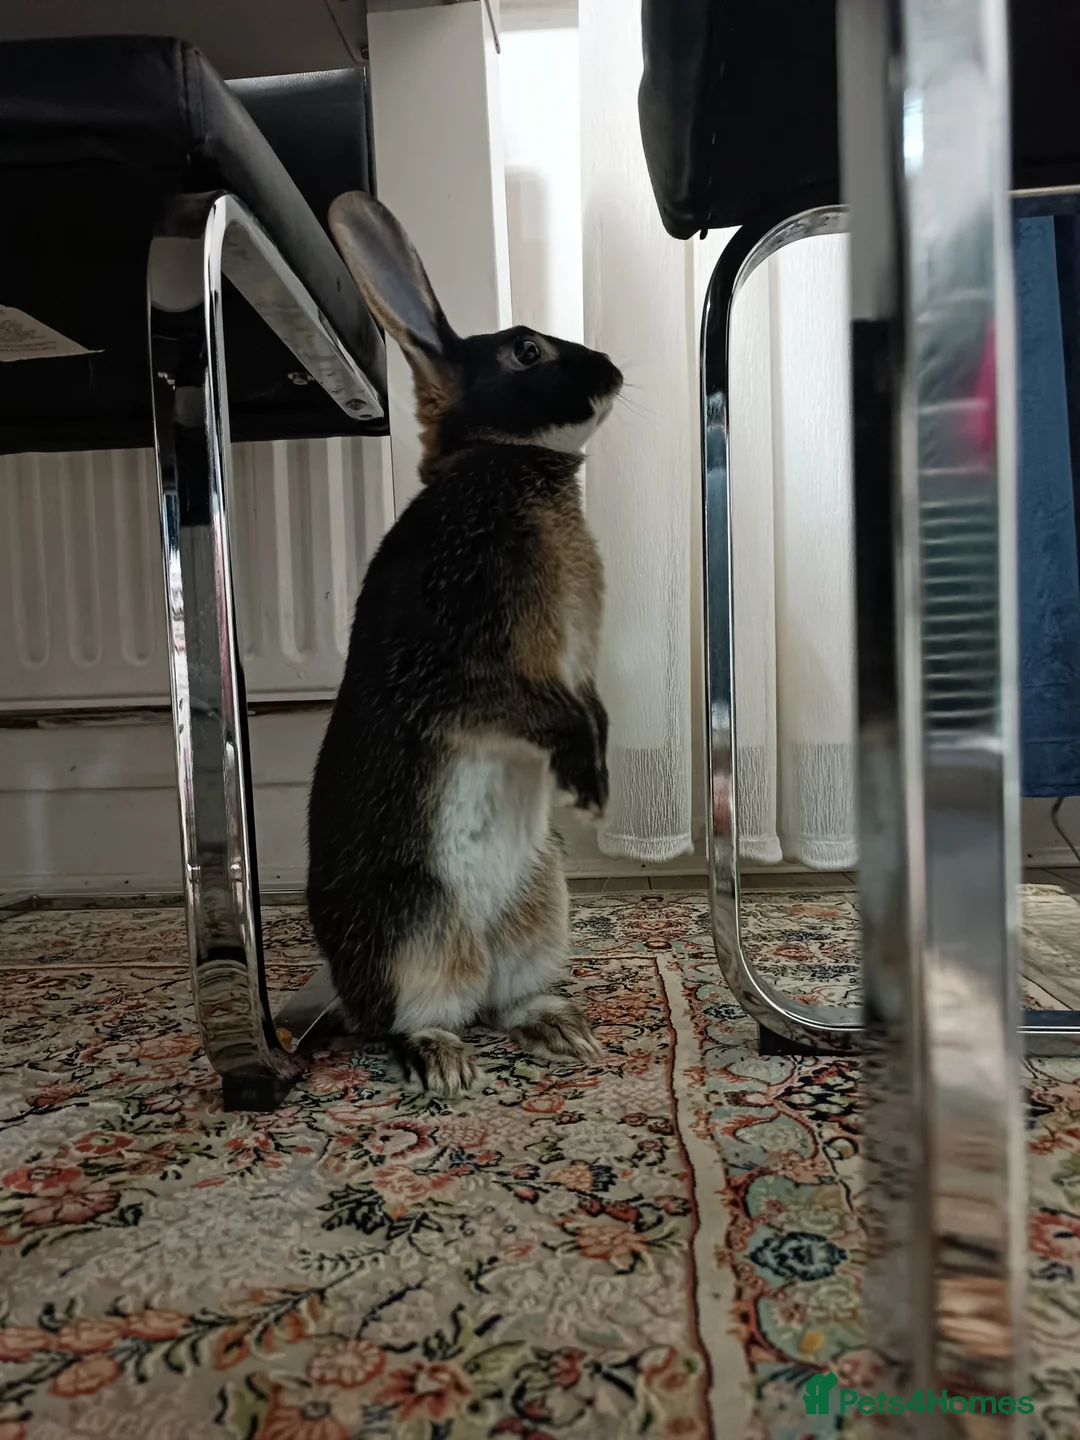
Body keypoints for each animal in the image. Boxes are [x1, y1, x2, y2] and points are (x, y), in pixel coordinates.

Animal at [306, 191, 623, 1098]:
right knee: (420, 1013)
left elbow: (589, 705)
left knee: (510, 1000)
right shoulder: (460, 659)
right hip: (411, 925)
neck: (507, 464)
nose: (611, 369)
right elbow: (530, 706)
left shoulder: (575, 667)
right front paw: (586, 781)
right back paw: (443, 1062)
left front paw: (597, 775)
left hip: (542, 906)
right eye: (526, 351)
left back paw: (561, 1030)